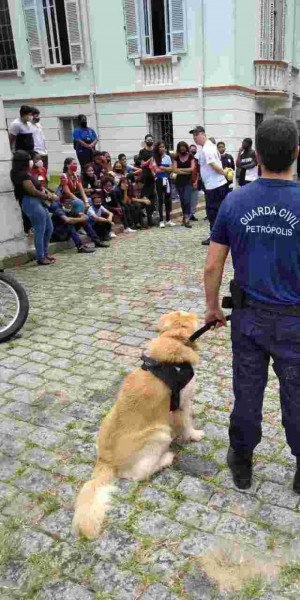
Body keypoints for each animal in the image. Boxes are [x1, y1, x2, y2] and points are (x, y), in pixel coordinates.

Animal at [72, 312, 204, 536]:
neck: (173, 339)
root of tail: (105, 461)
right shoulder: (183, 403)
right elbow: (187, 424)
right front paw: (194, 435)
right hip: (159, 434)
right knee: (138, 475)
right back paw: (166, 458)